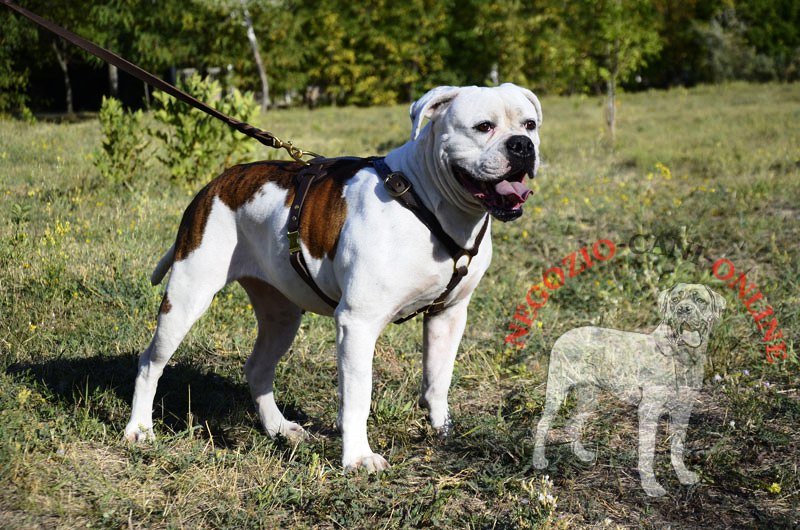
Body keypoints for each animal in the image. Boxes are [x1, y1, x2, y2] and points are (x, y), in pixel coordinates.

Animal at [125, 83, 544, 470]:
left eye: (530, 124)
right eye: (483, 126)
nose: (522, 145)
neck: (427, 202)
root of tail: (215, 184)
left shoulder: (449, 314)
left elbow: (438, 378)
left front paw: (442, 431)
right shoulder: (358, 322)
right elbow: (359, 395)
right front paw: (358, 457)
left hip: (281, 314)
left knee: (258, 368)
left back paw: (279, 428)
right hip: (186, 297)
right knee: (150, 363)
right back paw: (140, 430)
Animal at [532, 284, 724, 496]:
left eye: (700, 300)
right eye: (675, 300)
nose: (684, 310)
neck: (682, 356)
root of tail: (563, 335)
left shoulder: (684, 410)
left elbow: (677, 447)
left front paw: (683, 475)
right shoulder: (649, 411)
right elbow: (647, 453)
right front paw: (650, 486)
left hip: (589, 397)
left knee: (573, 423)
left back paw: (581, 454)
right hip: (557, 391)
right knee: (542, 424)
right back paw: (538, 460)